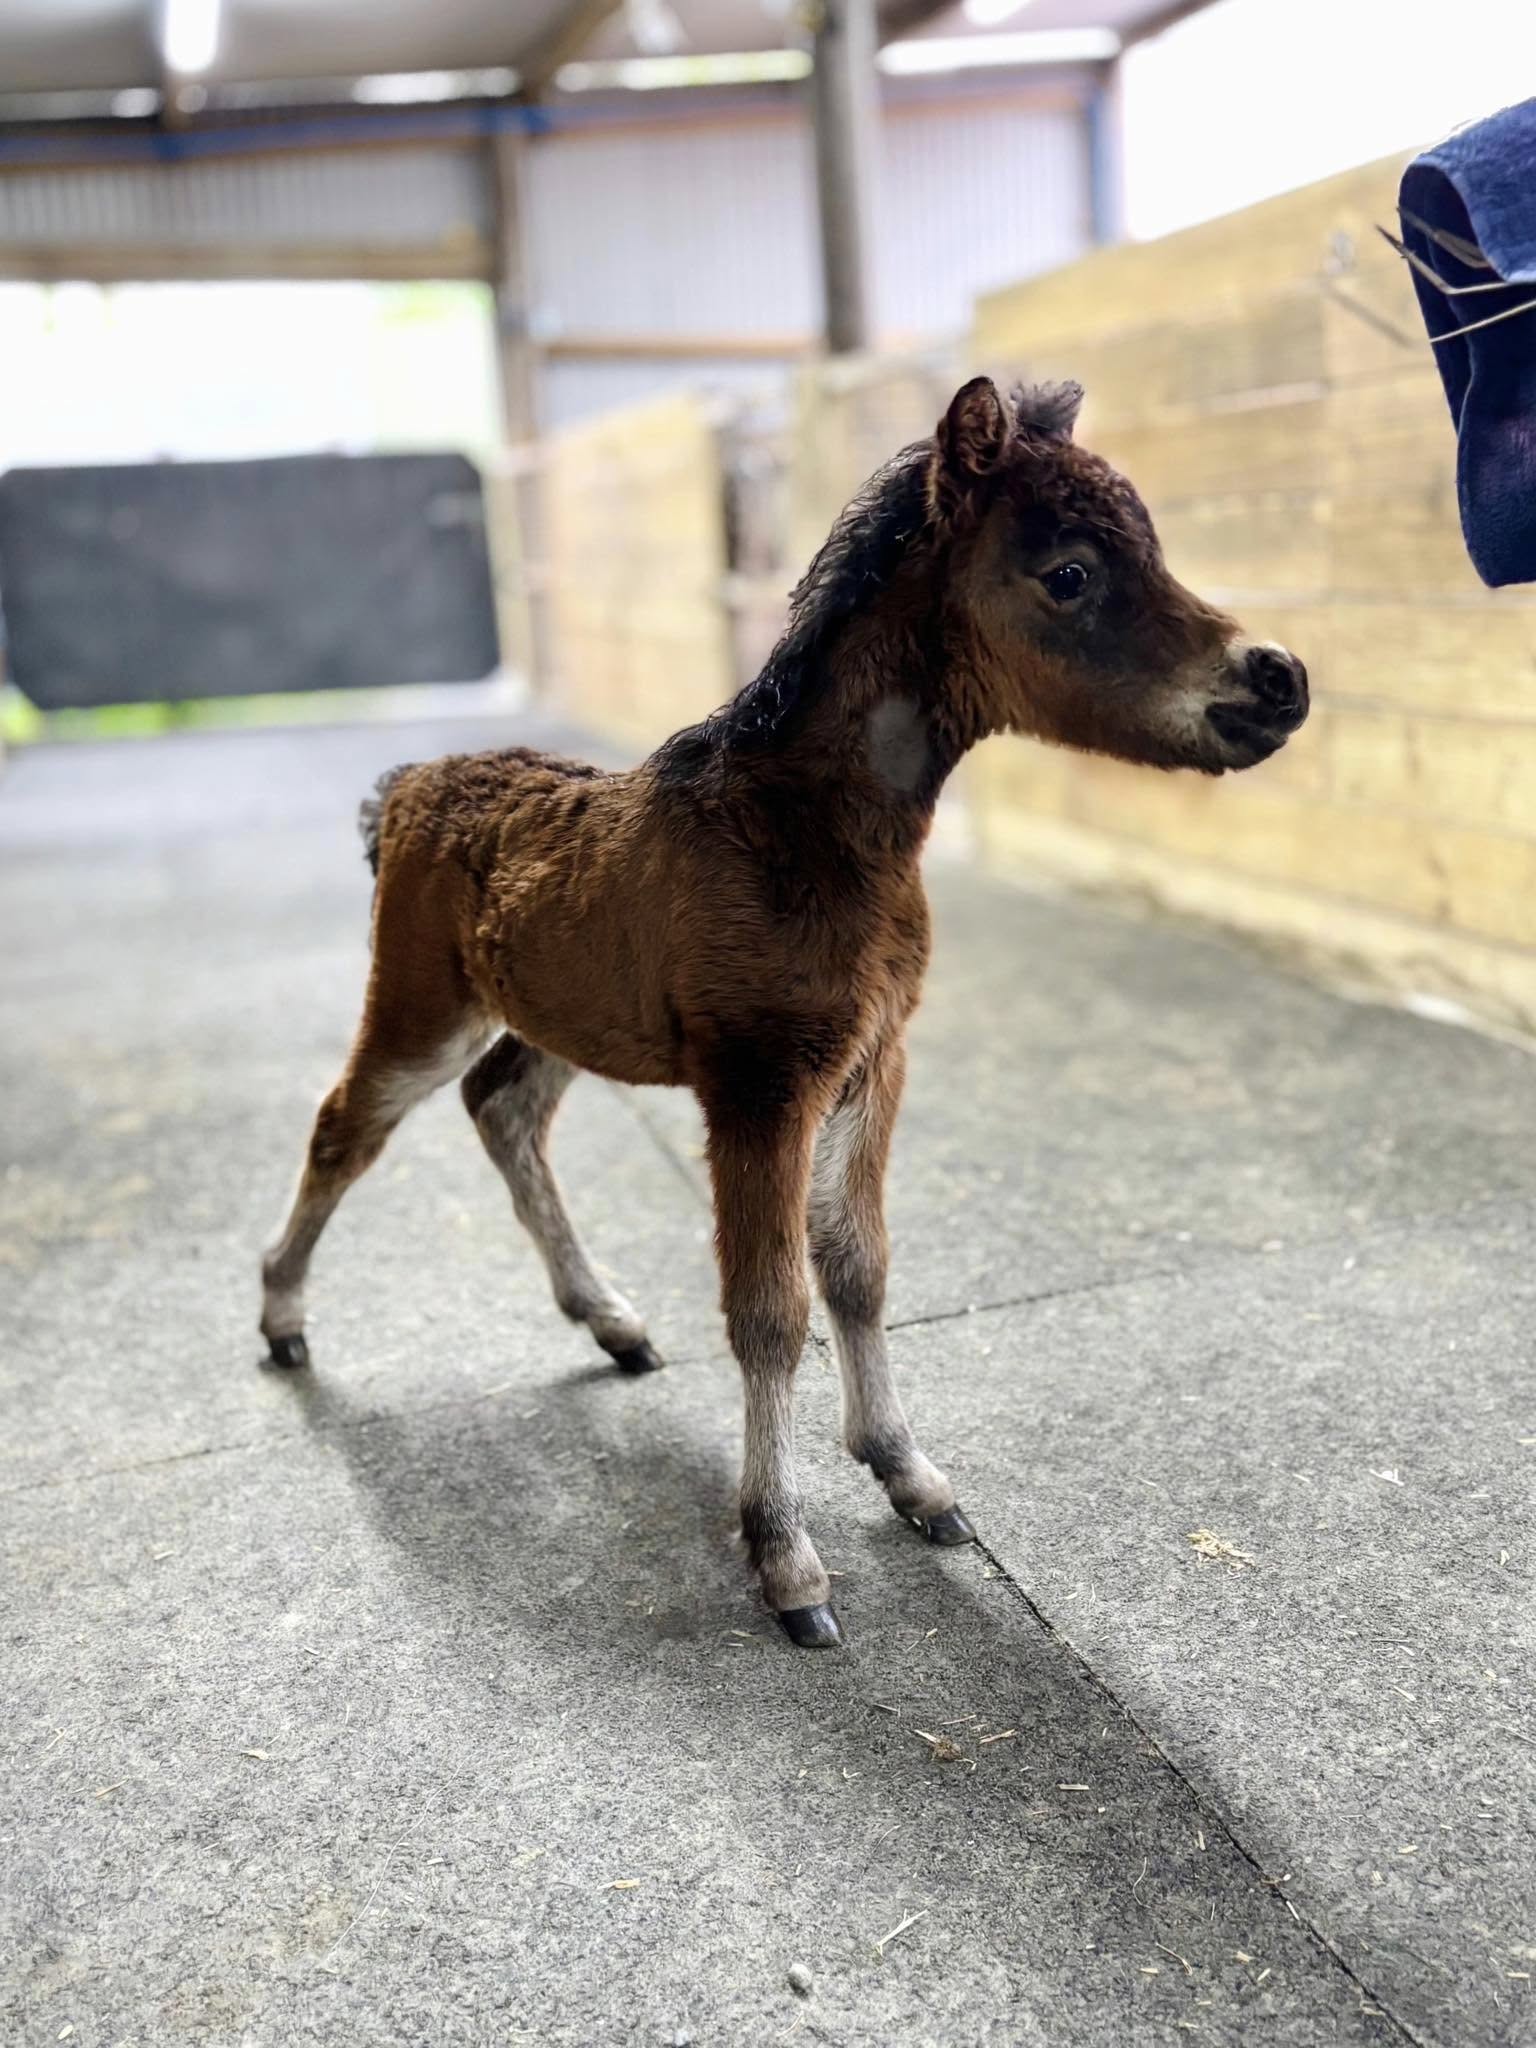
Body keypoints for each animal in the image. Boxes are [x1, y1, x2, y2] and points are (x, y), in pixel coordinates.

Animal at [260, 375, 1308, 1647]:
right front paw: (785, 1558)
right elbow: (769, 1308)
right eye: (1068, 571)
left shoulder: (872, 1062)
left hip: (559, 1013)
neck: (804, 830)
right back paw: (284, 1319)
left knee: (502, 1109)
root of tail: (409, 785)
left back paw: (610, 1321)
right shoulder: (761, 1082)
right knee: (349, 1121)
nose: (1278, 679)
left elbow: (857, 1267)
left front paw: (908, 1473)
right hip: (425, 998)